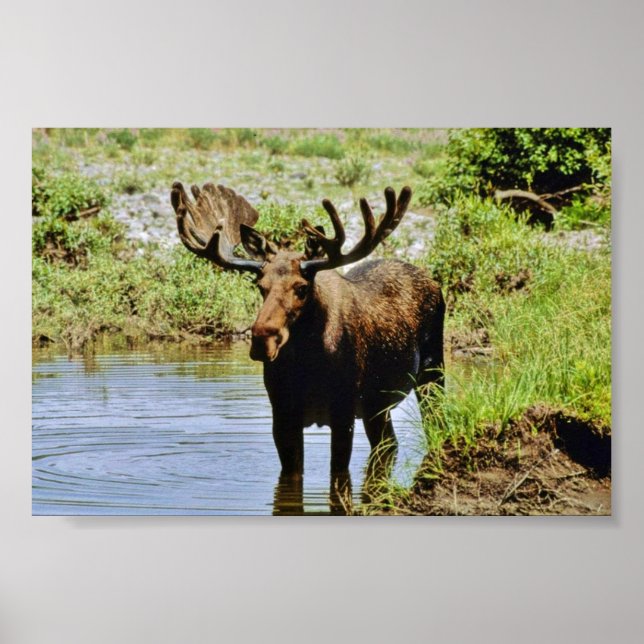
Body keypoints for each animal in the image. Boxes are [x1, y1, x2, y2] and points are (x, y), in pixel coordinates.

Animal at [170, 182, 445, 483]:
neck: (307, 366)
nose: (263, 339)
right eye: (259, 285)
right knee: (388, 444)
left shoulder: (343, 411)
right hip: (377, 405)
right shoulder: (283, 415)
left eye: (301, 287)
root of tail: (431, 279)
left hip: (432, 371)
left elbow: (338, 473)